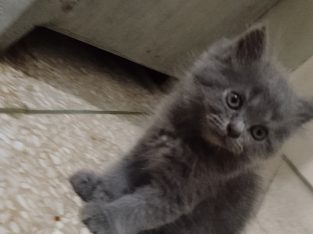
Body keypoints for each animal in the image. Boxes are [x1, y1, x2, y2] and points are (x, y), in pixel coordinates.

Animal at [70, 25, 312, 234]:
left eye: (259, 133)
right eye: (234, 99)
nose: (234, 130)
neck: (188, 140)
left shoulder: (175, 194)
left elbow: (135, 209)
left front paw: (103, 216)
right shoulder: (143, 150)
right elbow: (118, 174)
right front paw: (98, 187)